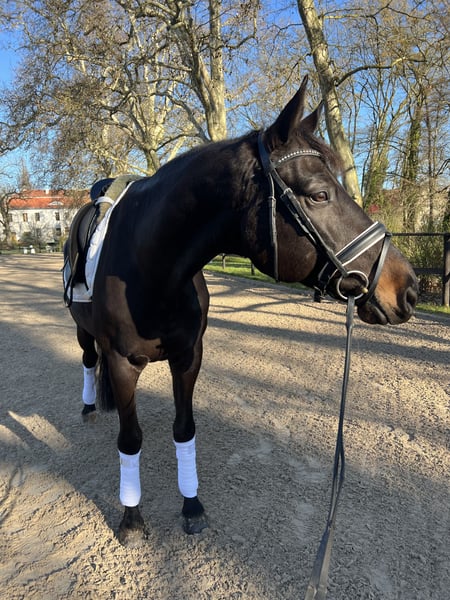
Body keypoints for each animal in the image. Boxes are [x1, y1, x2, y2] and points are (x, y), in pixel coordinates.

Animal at [63, 76, 418, 547]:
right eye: (320, 194)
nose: (407, 288)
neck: (152, 269)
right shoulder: (121, 364)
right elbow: (130, 438)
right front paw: (132, 518)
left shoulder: (189, 357)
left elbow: (184, 429)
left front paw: (192, 505)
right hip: (84, 333)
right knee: (88, 361)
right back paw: (88, 408)